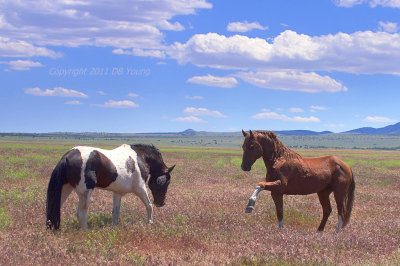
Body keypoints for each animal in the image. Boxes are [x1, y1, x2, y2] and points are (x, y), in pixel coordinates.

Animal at [46, 144, 174, 230]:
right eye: (167, 182)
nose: (161, 203)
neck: (140, 158)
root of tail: (67, 157)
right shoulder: (140, 188)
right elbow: (149, 205)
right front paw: (150, 222)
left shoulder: (117, 192)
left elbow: (115, 212)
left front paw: (114, 227)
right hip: (85, 192)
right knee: (81, 213)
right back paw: (85, 232)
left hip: (65, 188)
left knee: (55, 209)